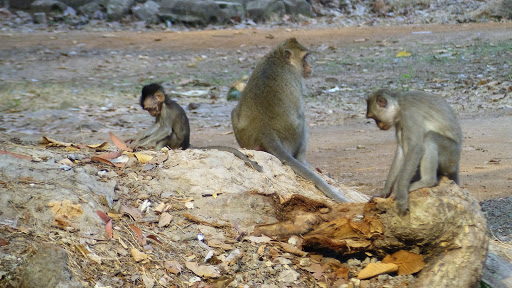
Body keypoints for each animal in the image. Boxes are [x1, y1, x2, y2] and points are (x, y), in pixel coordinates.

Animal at [134, 83, 262, 173]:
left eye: (149, 109)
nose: (151, 113)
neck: (165, 103)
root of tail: (186, 145)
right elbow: (157, 125)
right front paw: (138, 138)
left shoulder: (166, 110)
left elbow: (165, 129)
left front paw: (142, 142)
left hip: (176, 143)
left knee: (169, 135)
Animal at [231, 37, 348, 201]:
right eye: (305, 57)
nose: (310, 66)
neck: (279, 57)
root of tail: (264, 129)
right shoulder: (296, 78)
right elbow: (300, 113)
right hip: (292, 138)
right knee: (303, 122)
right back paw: (302, 160)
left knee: (233, 112)